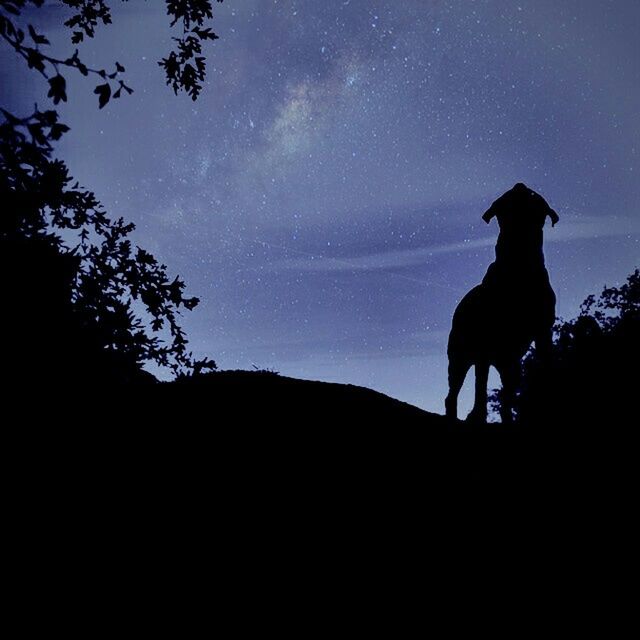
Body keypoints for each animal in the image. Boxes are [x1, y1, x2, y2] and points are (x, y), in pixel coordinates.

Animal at [448, 184, 556, 424]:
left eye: (533, 196)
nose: (520, 184)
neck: (519, 266)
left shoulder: (543, 332)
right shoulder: (484, 343)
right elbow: (480, 387)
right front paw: (477, 415)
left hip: (510, 365)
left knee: (506, 393)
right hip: (460, 358)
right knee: (453, 393)